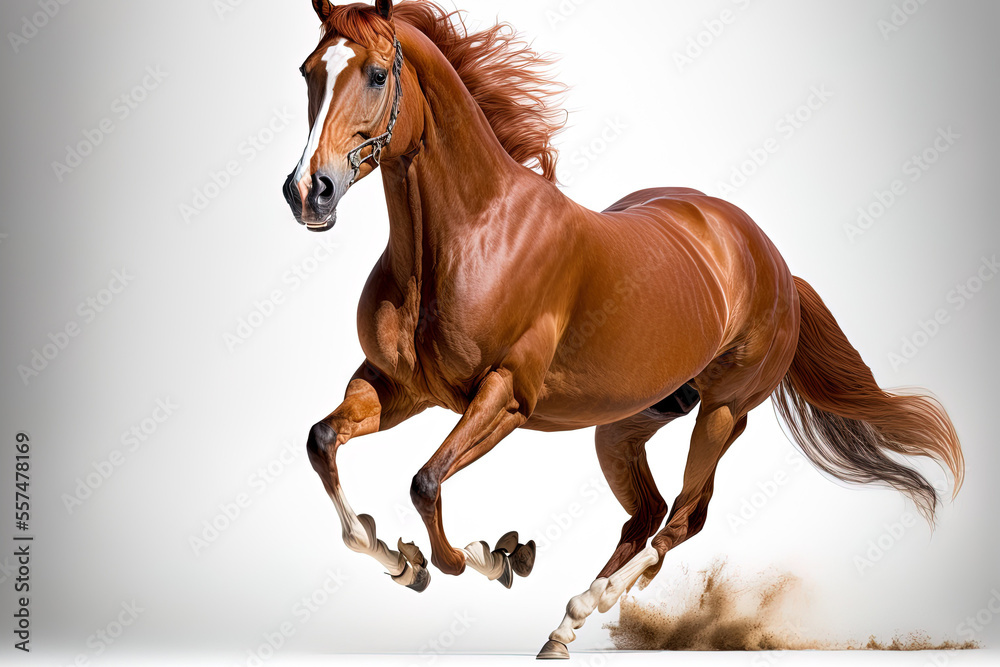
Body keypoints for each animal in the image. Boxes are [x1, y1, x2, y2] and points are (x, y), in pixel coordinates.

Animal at [281, 0, 965, 659]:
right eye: (309, 72)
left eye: (376, 74)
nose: (309, 192)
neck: (468, 235)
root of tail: (773, 261)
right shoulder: (398, 386)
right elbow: (322, 442)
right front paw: (404, 561)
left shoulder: (504, 397)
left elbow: (425, 484)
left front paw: (486, 558)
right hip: (624, 422)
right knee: (650, 513)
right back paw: (561, 629)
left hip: (723, 411)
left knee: (682, 518)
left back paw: (589, 601)